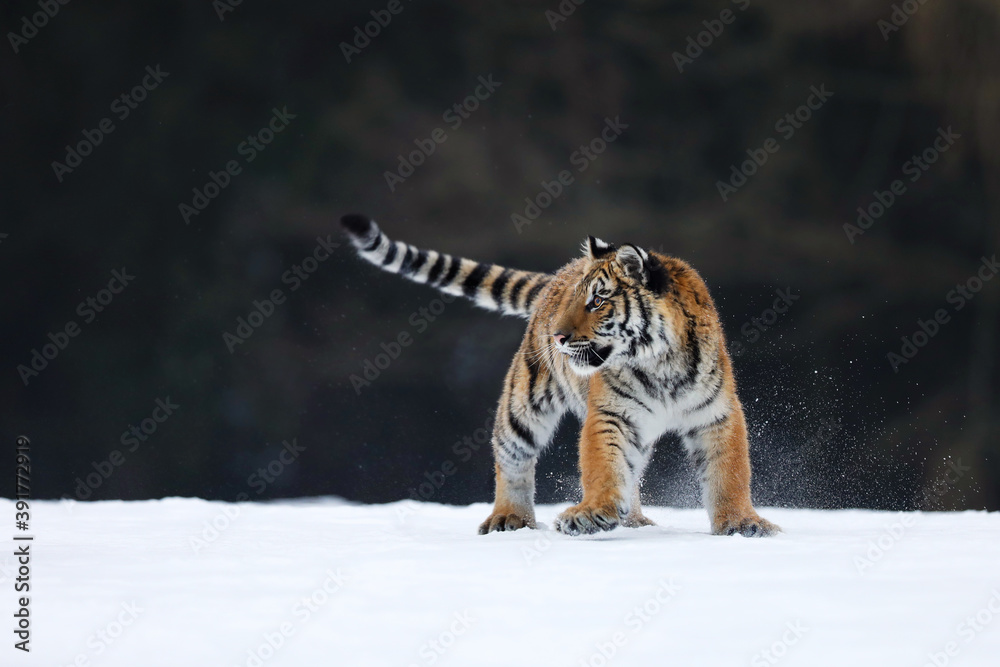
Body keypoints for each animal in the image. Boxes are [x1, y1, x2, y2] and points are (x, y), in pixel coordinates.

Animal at [342, 217, 780, 540]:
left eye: (598, 300)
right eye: (579, 299)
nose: (558, 336)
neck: (659, 362)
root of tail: (554, 276)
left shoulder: (716, 415)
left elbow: (729, 473)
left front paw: (741, 524)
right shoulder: (611, 415)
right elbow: (603, 466)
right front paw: (592, 514)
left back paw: (634, 520)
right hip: (522, 404)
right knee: (512, 460)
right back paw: (509, 519)